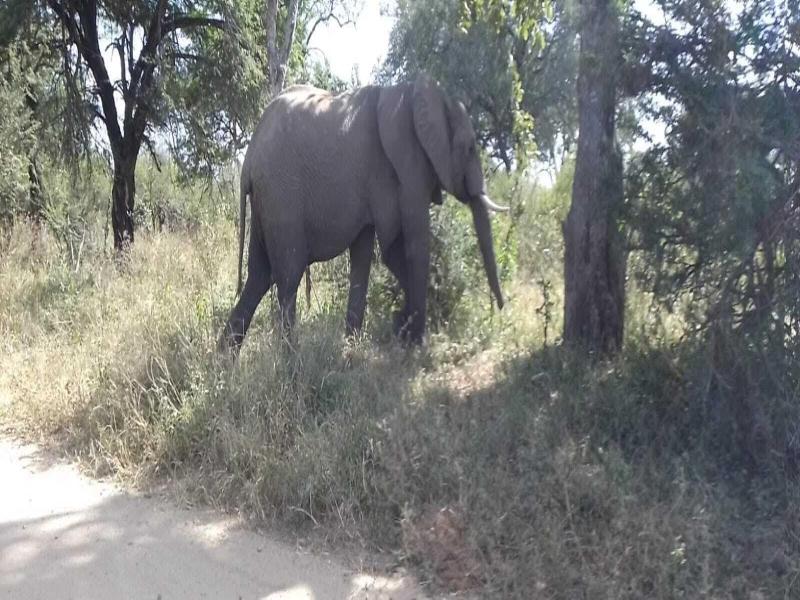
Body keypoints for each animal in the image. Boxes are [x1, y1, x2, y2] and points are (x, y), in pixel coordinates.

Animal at [219, 73, 508, 350]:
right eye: (470, 148)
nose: (500, 307)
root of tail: (249, 159)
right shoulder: (403, 169)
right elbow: (402, 248)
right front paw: (415, 341)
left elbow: (366, 257)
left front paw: (358, 348)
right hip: (282, 194)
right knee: (288, 277)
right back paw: (292, 361)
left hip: (265, 200)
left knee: (259, 277)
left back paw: (225, 359)